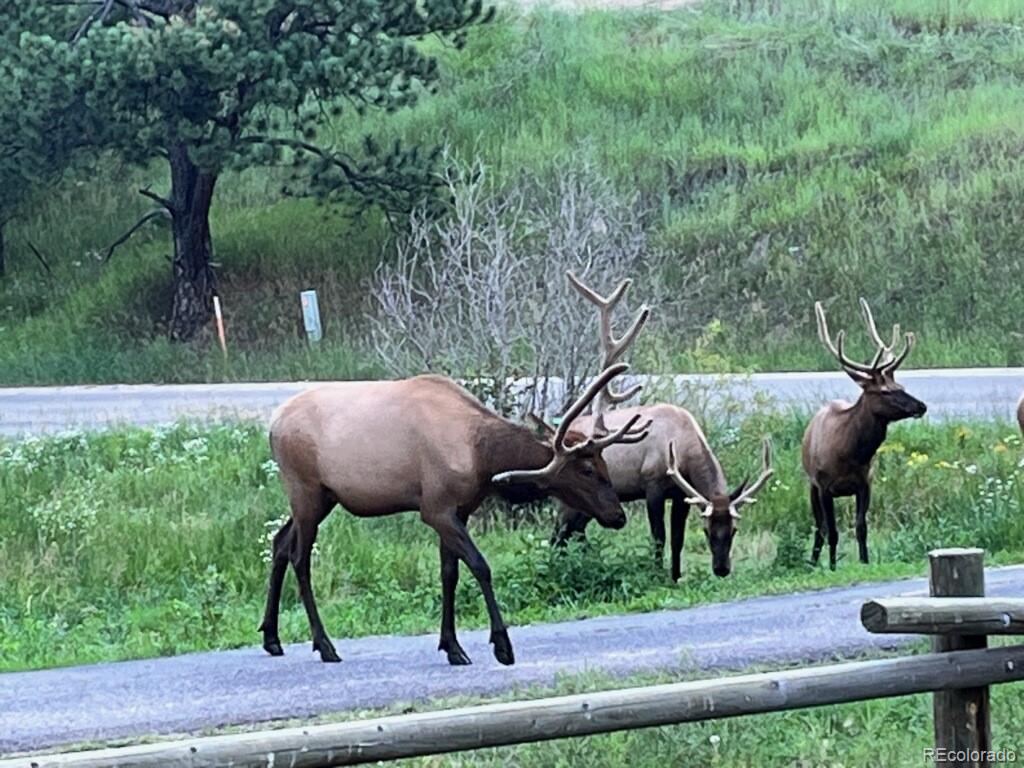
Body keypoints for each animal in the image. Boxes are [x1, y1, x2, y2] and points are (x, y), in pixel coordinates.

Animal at [262, 360, 647, 667]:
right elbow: (480, 566)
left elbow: (449, 574)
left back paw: (271, 638)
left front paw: (452, 646)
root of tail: (272, 424)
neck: (483, 456)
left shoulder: (457, 510)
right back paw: (325, 645)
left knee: (279, 542)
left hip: (322, 498)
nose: (617, 515)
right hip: (306, 490)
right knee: (299, 557)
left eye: (604, 464)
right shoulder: (436, 509)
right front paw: (502, 645)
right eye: (587, 470)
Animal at [552, 274, 774, 581]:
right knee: (559, 534)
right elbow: (659, 536)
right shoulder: (652, 486)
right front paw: (657, 573)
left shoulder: (681, 496)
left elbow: (677, 538)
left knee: (571, 533)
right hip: (572, 498)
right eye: (707, 531)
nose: (721, 569)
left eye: (733, 530)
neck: (684, 448)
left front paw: (676, 575)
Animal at [802, 301, 933, 573]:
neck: (850, 454)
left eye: (901, 387)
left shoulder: (866, 483)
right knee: (819, 528)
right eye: (884, 391)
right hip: (810, 484)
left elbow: (862, 527)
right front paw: (833, 566)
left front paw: (865, 561)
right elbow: (833, 532)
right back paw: (813, 562)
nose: (921, 406)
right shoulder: (824, 486)